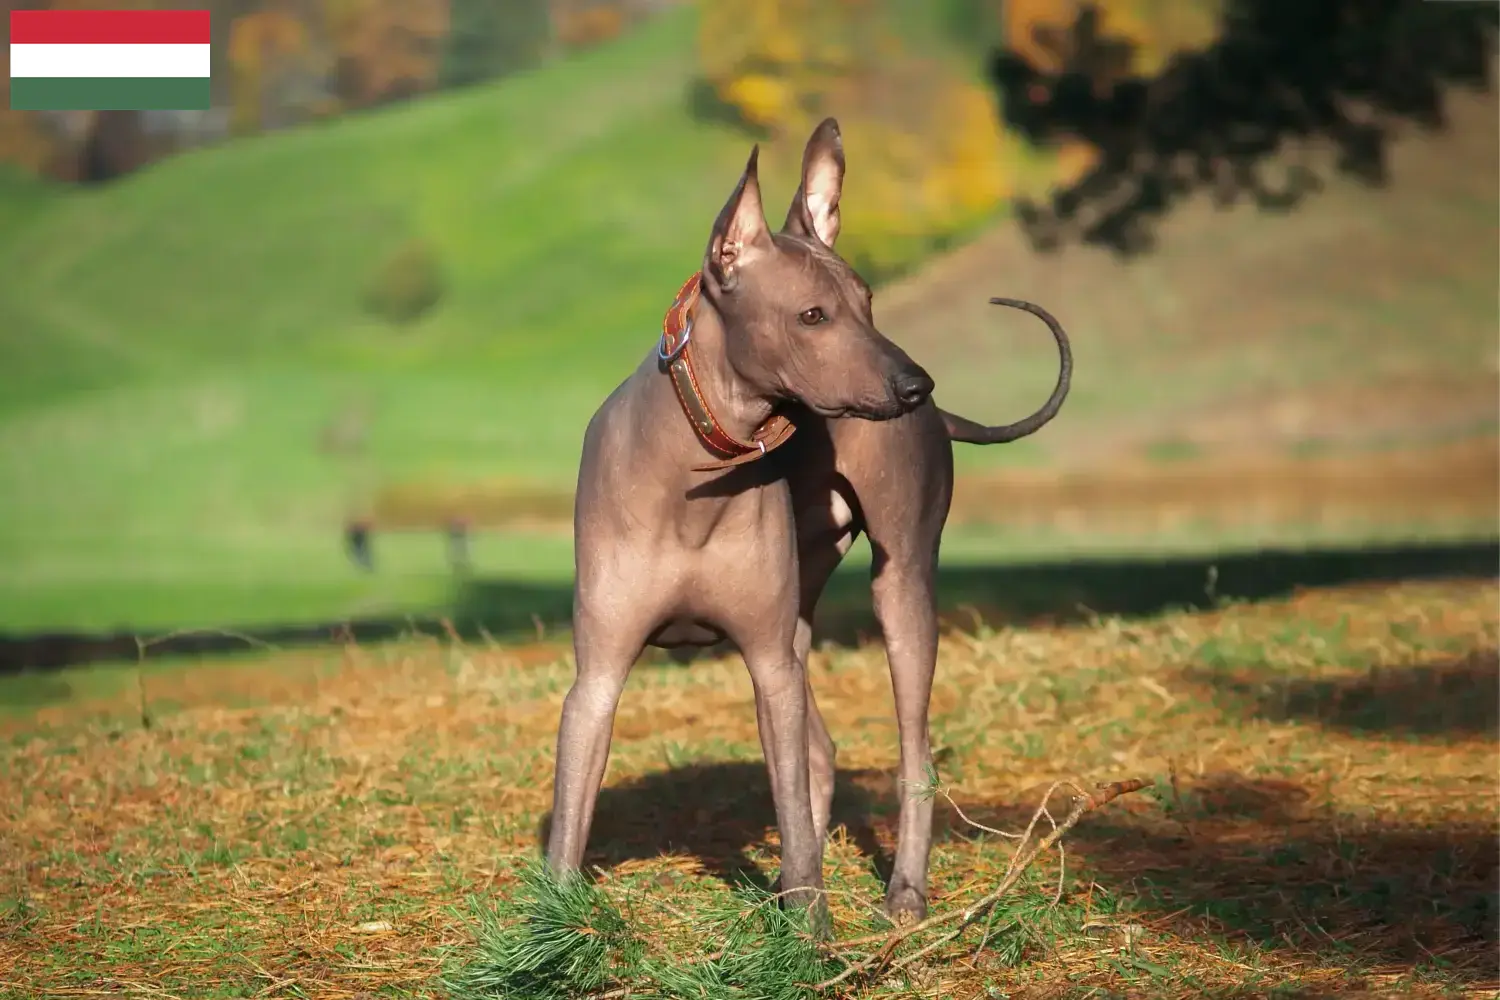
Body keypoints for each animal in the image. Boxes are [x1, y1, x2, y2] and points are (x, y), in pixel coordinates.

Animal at [546, 119, 1074, 929]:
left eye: (868, 303)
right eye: (813, 315)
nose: (917, 386)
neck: (699, 471)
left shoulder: (768, 663)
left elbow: (792, 809)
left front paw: (808, 930)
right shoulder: (598, 676)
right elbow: (571, 822)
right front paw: (555, 930)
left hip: (898, 589)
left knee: (911, 751)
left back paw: (905, 892)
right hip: (800, 611)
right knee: (823, 751)